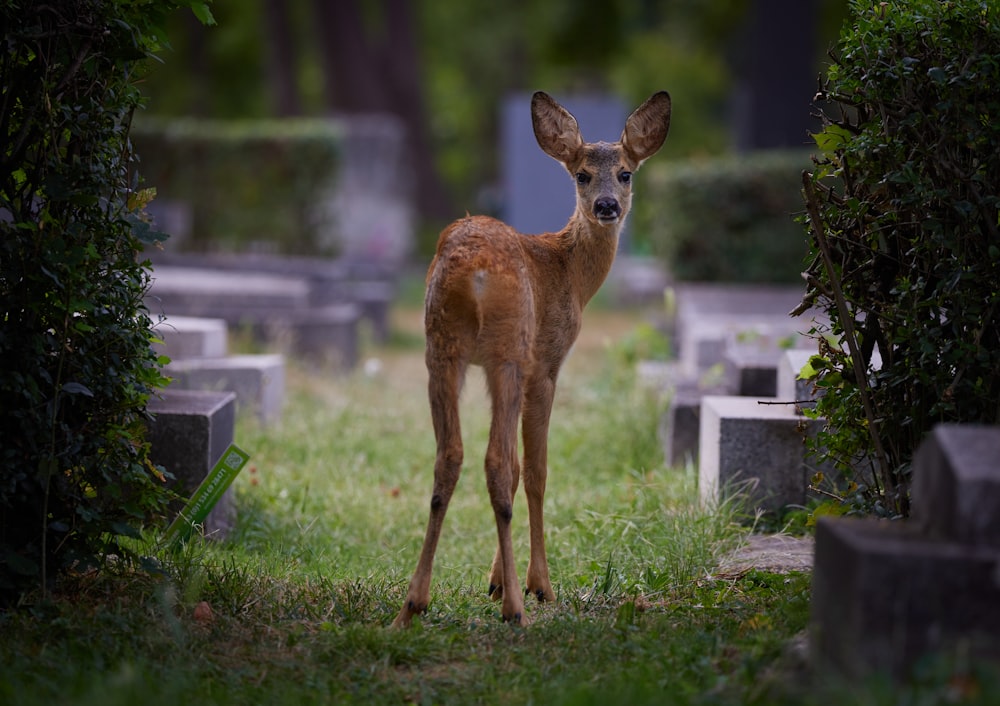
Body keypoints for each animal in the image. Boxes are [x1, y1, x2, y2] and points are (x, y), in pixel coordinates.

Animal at [392, 91, 672, 624]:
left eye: (625, 172)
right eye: (581, 174)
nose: (607, 205)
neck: (570, 273)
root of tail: (474, 271)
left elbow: (521, 467)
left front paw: (495, 580)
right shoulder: (545, 363)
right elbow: (535, 470)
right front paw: (534, 584)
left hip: (440, 347)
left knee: (450, 455)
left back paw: (413, 603)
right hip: (509, 348)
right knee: (496, 461)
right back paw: (517, 608)